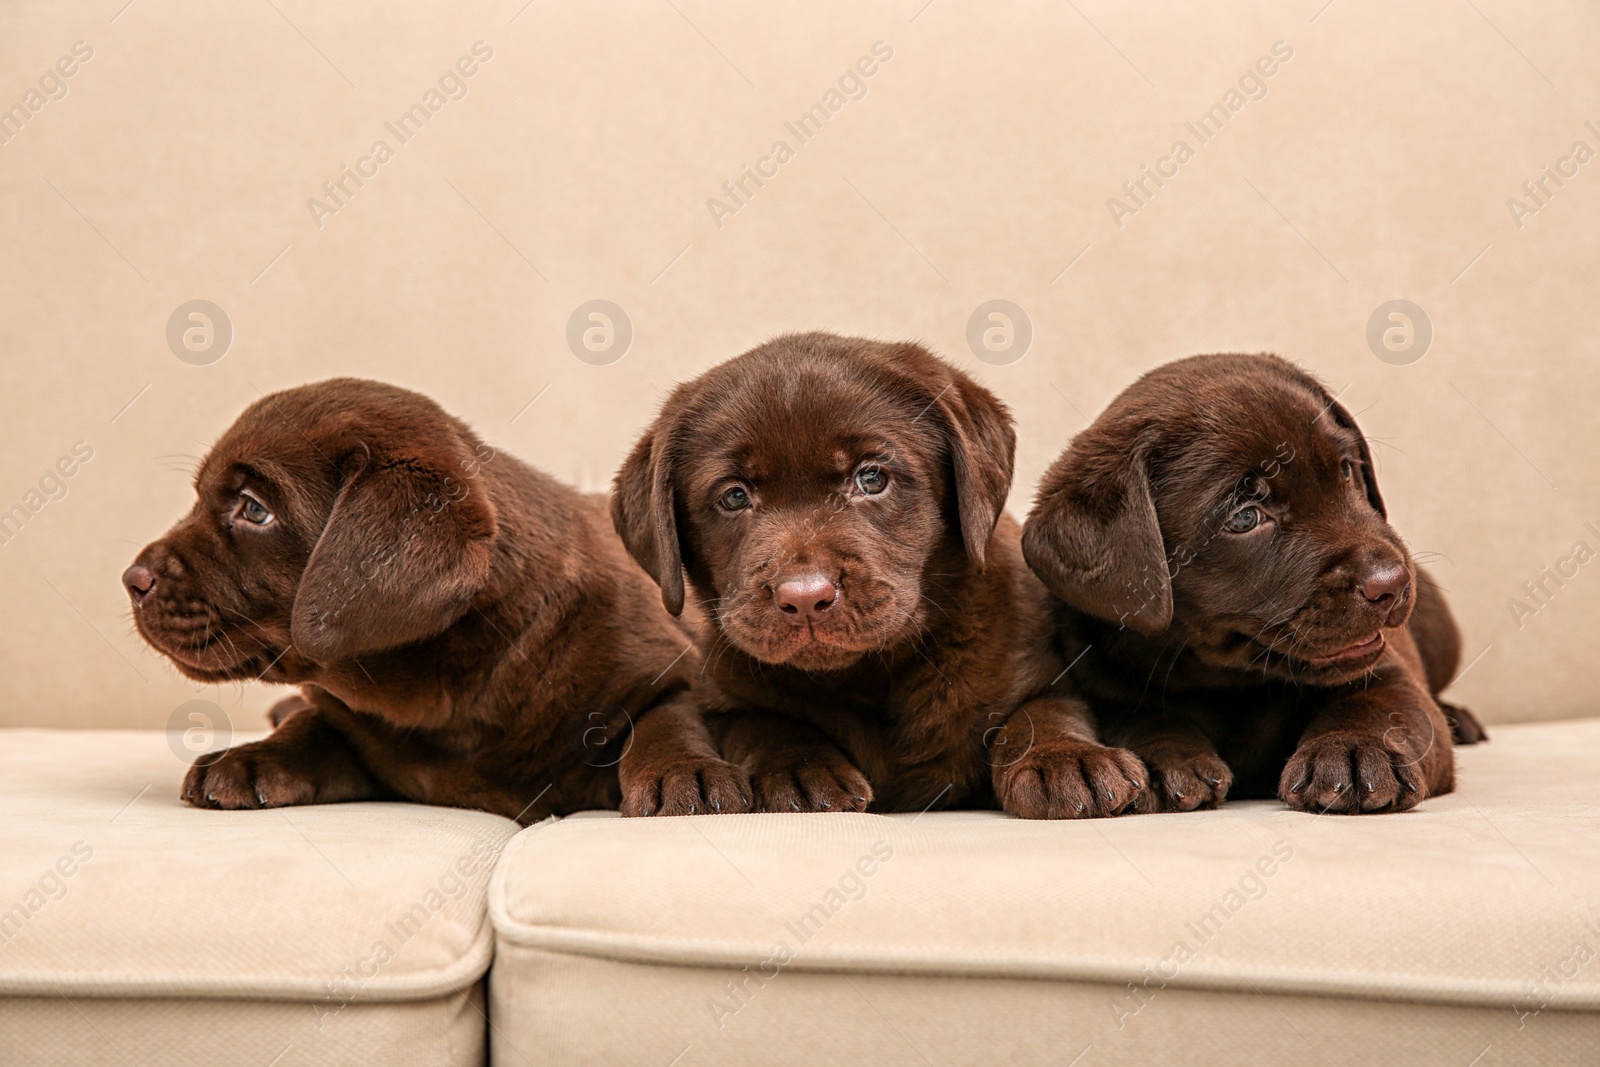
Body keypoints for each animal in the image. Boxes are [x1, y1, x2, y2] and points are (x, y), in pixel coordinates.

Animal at [124, 379, 748, 825]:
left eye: (254, 509)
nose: (132, 579)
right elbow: (314, 726)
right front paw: (249, 757)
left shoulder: (672, 666)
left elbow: (665, 717)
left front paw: (684, 774)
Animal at [604, 334, 1145, 819]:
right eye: (734, 497)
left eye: (871, 478)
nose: (806, 598)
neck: (870, 674)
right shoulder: (724, 693)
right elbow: (765, 723)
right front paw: (802, 770)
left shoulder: (1037, 669)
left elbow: (1044, 711)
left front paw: (1067, 759)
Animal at [1024, 355, 1484, 812]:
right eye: (1244, 517)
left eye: (1345, 469)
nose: (1391, 582)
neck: (1231, 684)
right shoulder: (1106, 686)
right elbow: (1141, 715)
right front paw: (1164, 757)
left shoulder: (1391, 674)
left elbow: (1378, 707)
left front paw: (1353, 751)